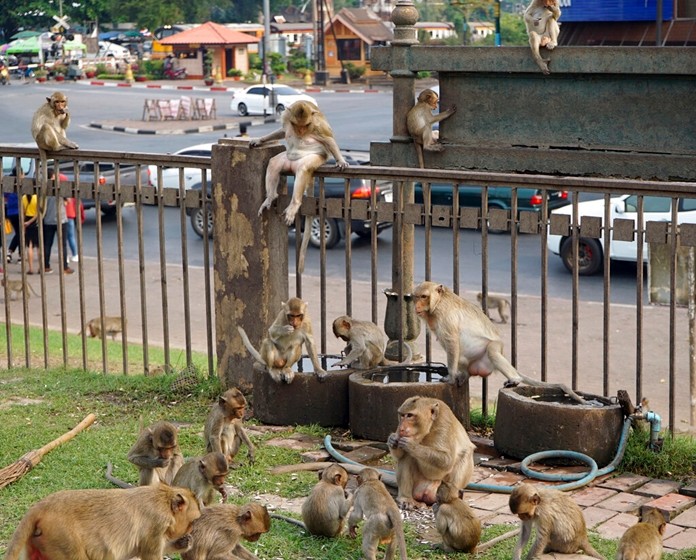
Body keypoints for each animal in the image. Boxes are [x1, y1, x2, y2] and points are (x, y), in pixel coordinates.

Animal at [4, 484, 201, 560]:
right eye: (193, 521)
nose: (191, 530)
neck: (163, 499)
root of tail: (42, 506)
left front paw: (183, 543)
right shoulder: (156, 524)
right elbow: (150, 555)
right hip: (62, 538)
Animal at [251, 100, 348, 273]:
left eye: (306, 125)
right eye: (297, 125)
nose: (302, 131)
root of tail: (292, 165)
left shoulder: (318, 126)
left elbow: (329, 139)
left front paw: (341, 160)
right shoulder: (286, 118)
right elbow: (282, 131)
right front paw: (260, 140)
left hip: (313, 159)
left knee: (303, 169)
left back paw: (294, 204)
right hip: (287, 160)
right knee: (273, 163)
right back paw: (270, 197)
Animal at [413, 281, 586, 404]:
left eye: (424, 297)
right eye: (416, 297)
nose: (416, 306)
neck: (438, 303)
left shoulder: (444, 314)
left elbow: (452, 341)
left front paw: (450, 377)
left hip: (493, 350)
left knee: (492, 350)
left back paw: (515, 379)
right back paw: (464, 375)